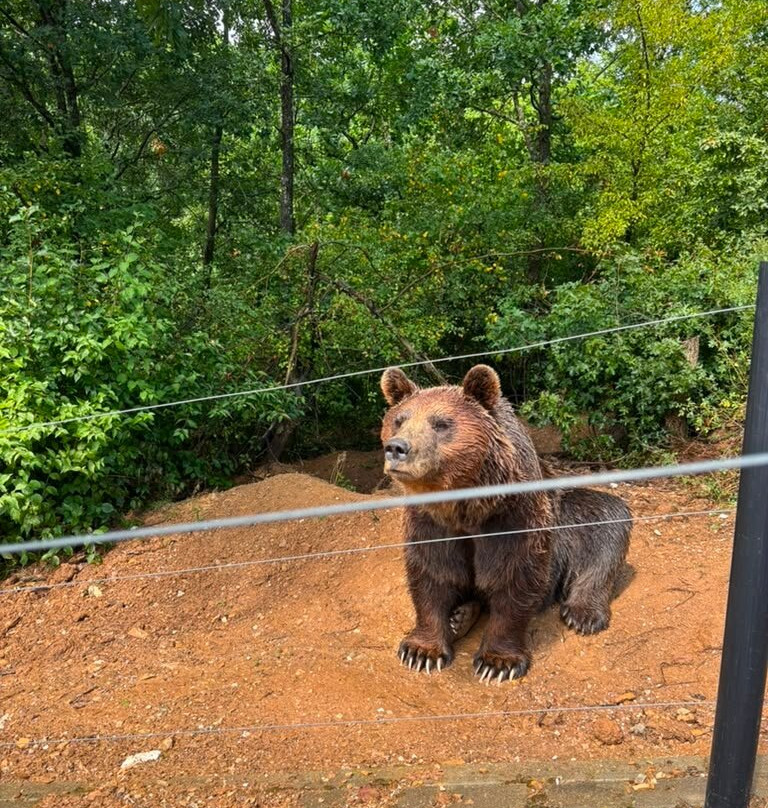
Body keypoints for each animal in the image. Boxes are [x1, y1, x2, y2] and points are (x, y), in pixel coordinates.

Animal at [380, 364, 632, 683]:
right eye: (399, 420)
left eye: (441, 424)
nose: (397, 448)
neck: (465, 506)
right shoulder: (430, 522)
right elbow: (432, 573)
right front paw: (422, 651)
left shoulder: (514, 517)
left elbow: (514, 576)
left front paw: (498, 662)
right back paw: (459, 618)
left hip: (571, 515)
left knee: (607, 522)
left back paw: (583, 614)